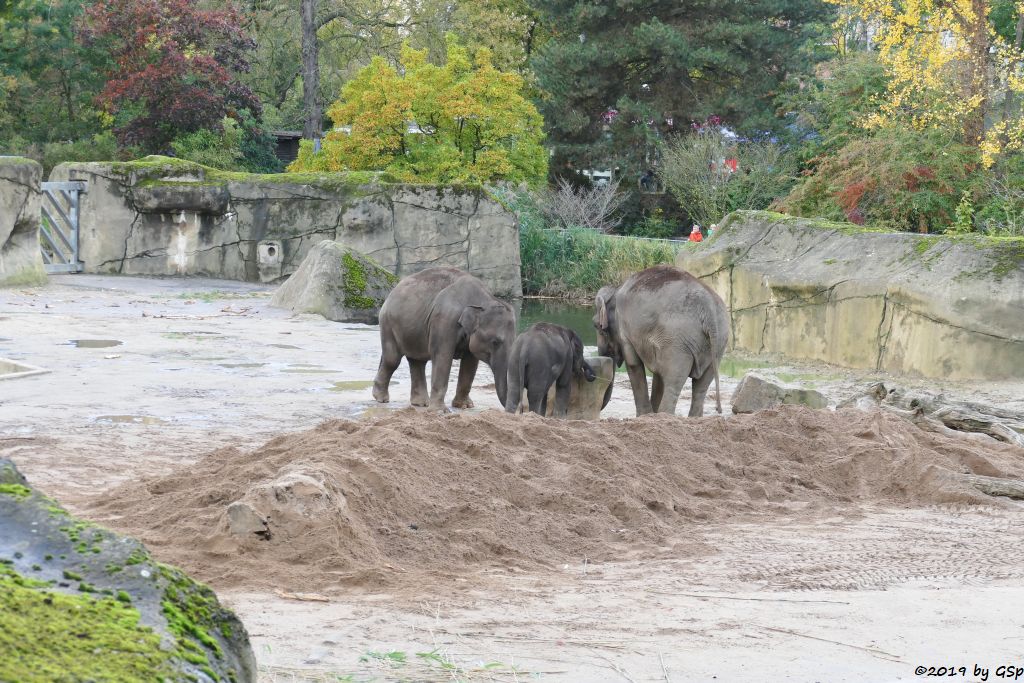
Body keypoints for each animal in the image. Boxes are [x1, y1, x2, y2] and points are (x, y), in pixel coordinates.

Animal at [372, 266, 516, 411]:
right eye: (495, 342)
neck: (482, 300)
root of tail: (392, 291)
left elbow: (470, 363)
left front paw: (464, 406)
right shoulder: (444, 320)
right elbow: (443, 356)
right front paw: (440, 411)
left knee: (417, 361)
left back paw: (421, 404)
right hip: (388, 323)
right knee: (392, 359)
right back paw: (381, 398)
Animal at [593, 266, 729, 417]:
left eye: (597, 326)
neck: (615, 291)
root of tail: (709, 310)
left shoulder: (624, 329)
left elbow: (633, 364)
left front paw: (644, 416)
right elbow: (658, 373)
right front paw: (651, 414)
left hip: (677, 343)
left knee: (673, 383)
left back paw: (665, 415)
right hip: (717, 344)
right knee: (701, 385)